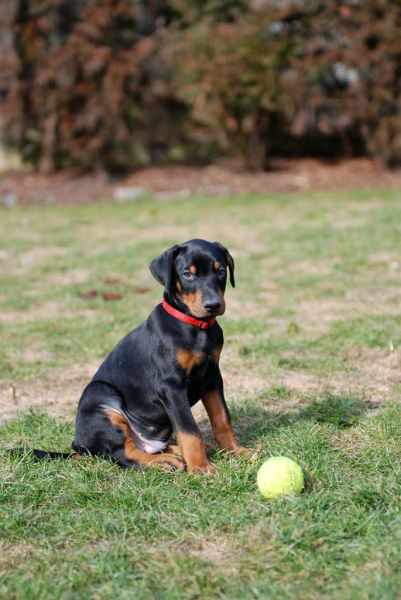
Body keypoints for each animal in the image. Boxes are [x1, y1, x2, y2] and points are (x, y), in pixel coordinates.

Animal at [71, 238, 248, 472]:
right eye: (187, 274)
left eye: (220, 271)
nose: (213, 305)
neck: (195, 325)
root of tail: (79, 444)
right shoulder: (171, 386)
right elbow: (189, 430)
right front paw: (201, 468)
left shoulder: (212, 377)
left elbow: (222, 418)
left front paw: (237, 451)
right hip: (99, 396)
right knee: (123, 454)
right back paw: (165, 462)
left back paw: (177, 453)